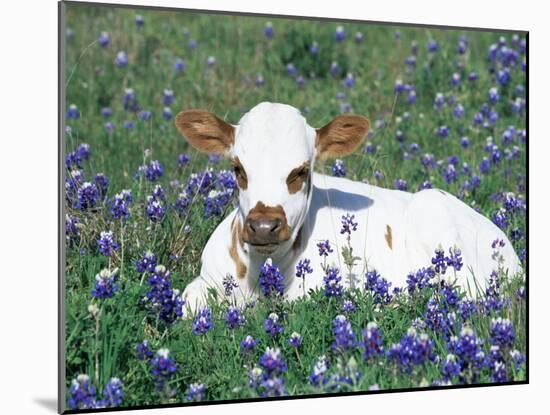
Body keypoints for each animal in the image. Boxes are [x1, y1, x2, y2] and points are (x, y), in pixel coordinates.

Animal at [175, 102, 524, 310]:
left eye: (301, 171)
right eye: (238, 169)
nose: (263, 226)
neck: (261, 267)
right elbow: (187, 303)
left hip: (434, 211)